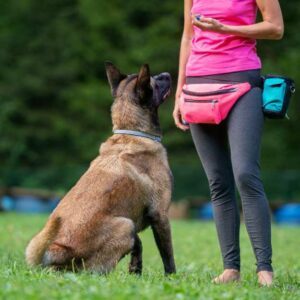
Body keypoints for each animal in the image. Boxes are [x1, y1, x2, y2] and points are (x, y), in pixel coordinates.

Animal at [25, 62, 177, 276]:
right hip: (125, 225)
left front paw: (135, 270)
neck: (132, 132)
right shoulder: (160, 215)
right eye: (154, 82)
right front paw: (172, 278)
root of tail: (59, 250)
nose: (166, 74)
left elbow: (138, 245)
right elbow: (167, 255)